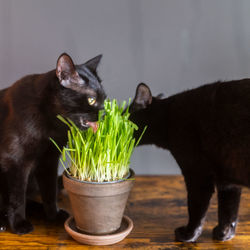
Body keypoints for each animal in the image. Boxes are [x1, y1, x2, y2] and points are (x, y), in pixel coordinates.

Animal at [0, 53, 106, 234]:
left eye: (104, 98)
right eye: (92, 100)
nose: (104, 113)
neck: (50, 126)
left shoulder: (49, 159)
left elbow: (49, 192)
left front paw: (53, 216)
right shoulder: (15, 162)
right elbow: (17, 198)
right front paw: (20, 224)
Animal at [129, 81, 250, 241]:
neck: (168, 117)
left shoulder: (197, 175)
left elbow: (195, 209)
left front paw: (189, 234)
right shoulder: (227, 181)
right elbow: (228, 211)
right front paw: (224, 234)